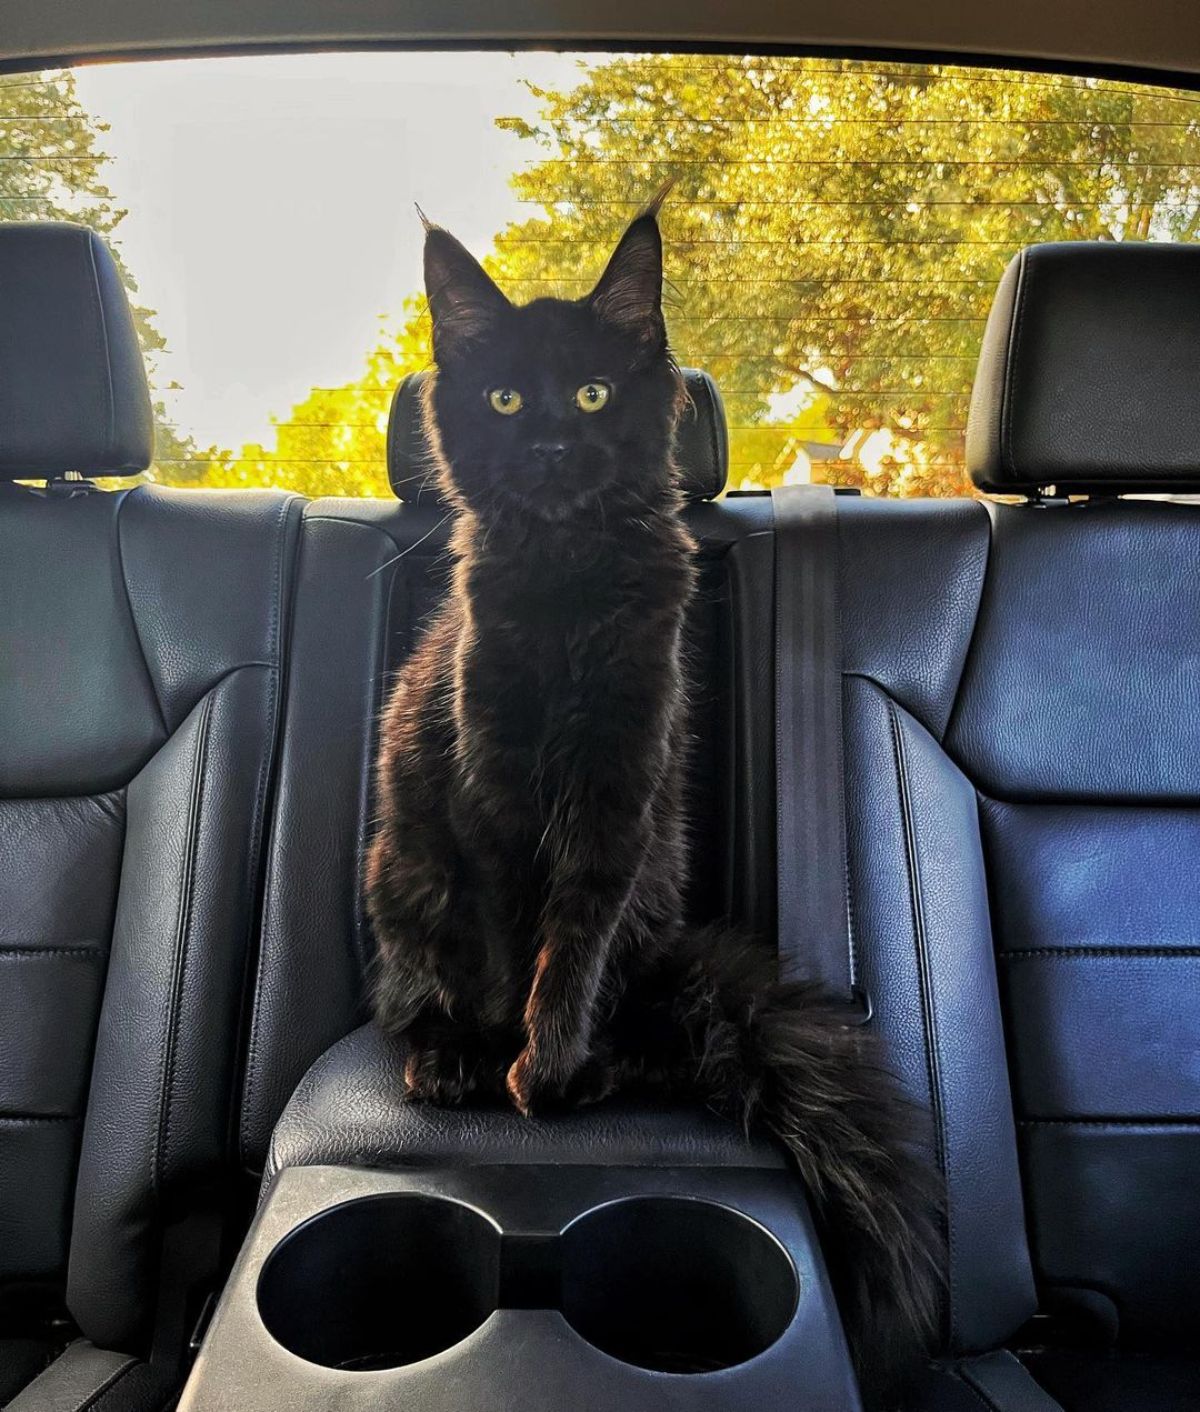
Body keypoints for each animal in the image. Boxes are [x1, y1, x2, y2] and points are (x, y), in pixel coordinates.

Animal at [360, 193, 937, 1406]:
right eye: (503, 397)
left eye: (589, 393)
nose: (547, 445)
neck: (569, 579)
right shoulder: (486, 786)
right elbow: (507, 941)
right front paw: (500, 1057)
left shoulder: (620, 791)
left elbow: (569, 944)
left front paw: (547, 1067)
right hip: (404, 874)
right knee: (417, 991)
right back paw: (445, 1056)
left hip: (649, 900)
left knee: (624, 999)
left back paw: (598, 1063)